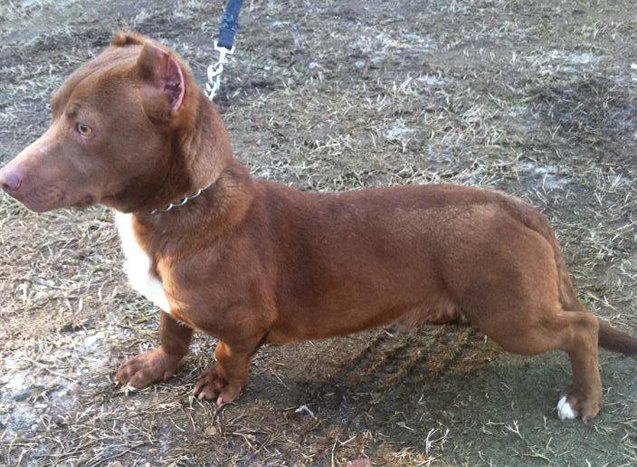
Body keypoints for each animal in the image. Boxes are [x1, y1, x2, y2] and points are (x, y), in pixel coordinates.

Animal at [2, 32, 632, 420]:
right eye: (53, 113)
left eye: (85, 128)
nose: (5, 179)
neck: (176, 211)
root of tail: (515, 206)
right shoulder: (170, 304)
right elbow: (172, 333)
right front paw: (153, 368)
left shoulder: (243, 323)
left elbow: (227, 354)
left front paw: (219, 387)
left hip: (512, 316)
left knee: (583, 328)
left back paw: (583, 399)